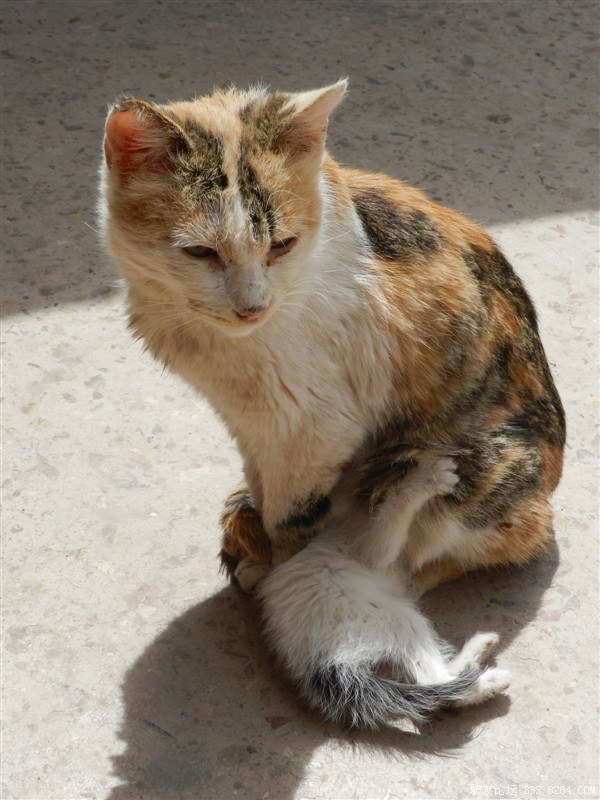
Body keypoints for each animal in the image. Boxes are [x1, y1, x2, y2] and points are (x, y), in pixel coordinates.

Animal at [100, 80, 565, 727]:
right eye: (200, 253)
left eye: (282, 245)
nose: (251, 306)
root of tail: (545, 507)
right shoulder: (252, 424)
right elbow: (263, 487)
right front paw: (256, 546)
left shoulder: (313, 424)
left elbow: (292, 519)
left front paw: (277, 571)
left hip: (481, 463)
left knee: (421, 552)